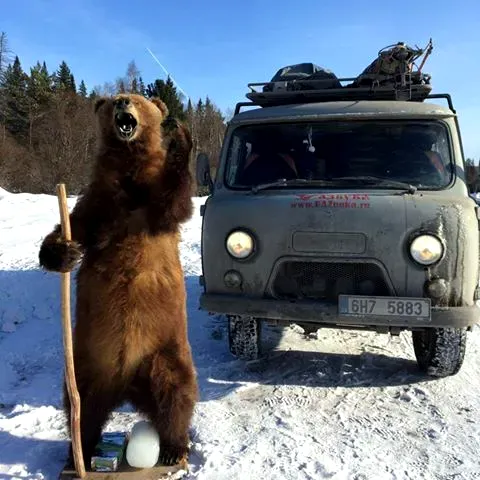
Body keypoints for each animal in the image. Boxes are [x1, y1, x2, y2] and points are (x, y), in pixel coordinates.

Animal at [37, 92, 199, 466]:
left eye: (139, 100)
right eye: (112, 100)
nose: (124, 100)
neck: (128, 168)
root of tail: (127, 383)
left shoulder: (151, 206)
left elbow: (174, 203)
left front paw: (180, 139)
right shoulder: (98, 202)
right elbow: (74, 225)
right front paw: (63, 252)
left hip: (166, 350)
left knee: (176, 394)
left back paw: (174, 448)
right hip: (89, 363)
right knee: (83, 407)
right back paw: (79, 451)